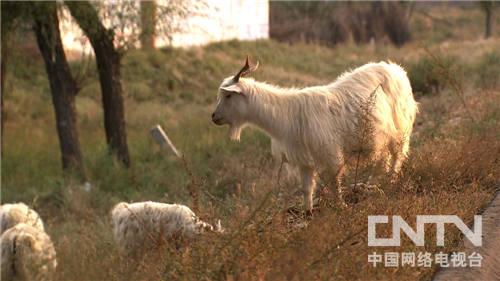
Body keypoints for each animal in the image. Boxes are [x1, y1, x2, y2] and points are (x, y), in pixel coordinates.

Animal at [211, 57, 418, 211]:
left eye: (228, 95)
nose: (214, 117)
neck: (288, 115)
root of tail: (397, 70)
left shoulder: (330, 153)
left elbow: (334, 183)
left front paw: (341, 206)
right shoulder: (304, 160)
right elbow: (306, 188)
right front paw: (307, 211)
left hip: (401, 129)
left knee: (397, 157)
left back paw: (390, 182)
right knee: (384, 159)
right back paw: (377, 182)